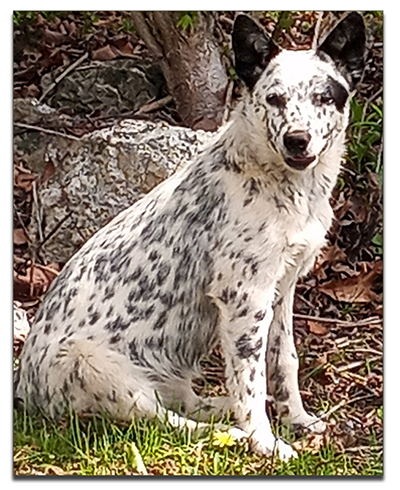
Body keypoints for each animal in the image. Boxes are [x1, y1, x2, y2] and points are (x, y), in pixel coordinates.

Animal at [14, 13, 366, 462]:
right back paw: (227, 432)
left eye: (324, 97)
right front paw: (265, 441)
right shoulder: (244, 297)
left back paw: (221, 409)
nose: (297, 139)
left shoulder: (281, 289)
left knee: (185, 401)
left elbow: (284, 361)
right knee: (164, 420)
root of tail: (25, 391)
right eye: (274, 99)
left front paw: (299, 420)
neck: (284, 185)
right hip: (92, 364)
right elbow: (250, 381)